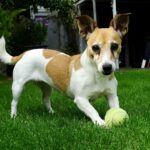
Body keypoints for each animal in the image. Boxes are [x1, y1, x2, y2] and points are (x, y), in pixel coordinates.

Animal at [0, 13, 129, 126]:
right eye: (95, 47)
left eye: (115, 46)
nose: (107, 67)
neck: (96, 74)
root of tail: (24, 53)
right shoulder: (81, 99)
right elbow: (93, 111)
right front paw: (101, 123)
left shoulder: (112, 96)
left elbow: (116, 107)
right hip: (18, 86)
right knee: (14, 102)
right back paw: (13, 116)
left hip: (46, 87)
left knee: (45, 100)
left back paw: (51, 113)